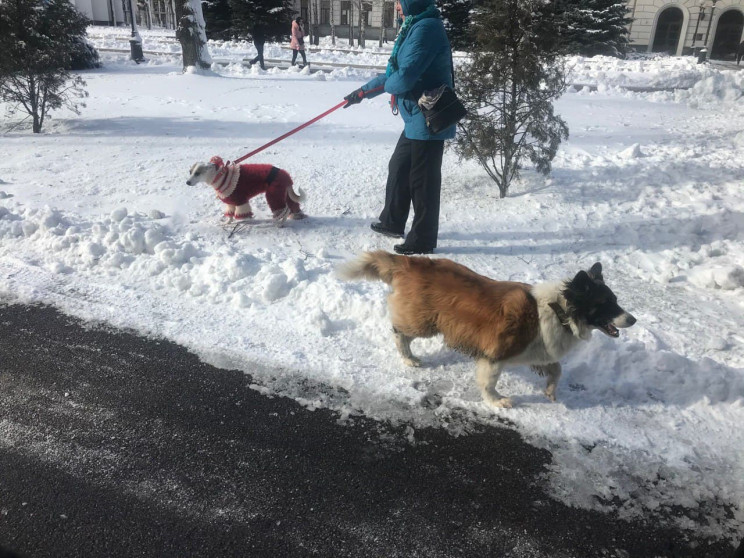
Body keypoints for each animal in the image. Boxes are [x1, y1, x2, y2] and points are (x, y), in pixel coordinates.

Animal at [340, 252, 636, 410]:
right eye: (605, 304)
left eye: (616, 300)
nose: (632, 319)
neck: (559, 310)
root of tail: (412, 262)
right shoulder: (496, 353)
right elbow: (489, 381)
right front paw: (496, 401)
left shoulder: (539, 351)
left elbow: (557, 369)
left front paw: (551, 391)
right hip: (423, 322)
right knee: (399, 332)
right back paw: (408, 357)